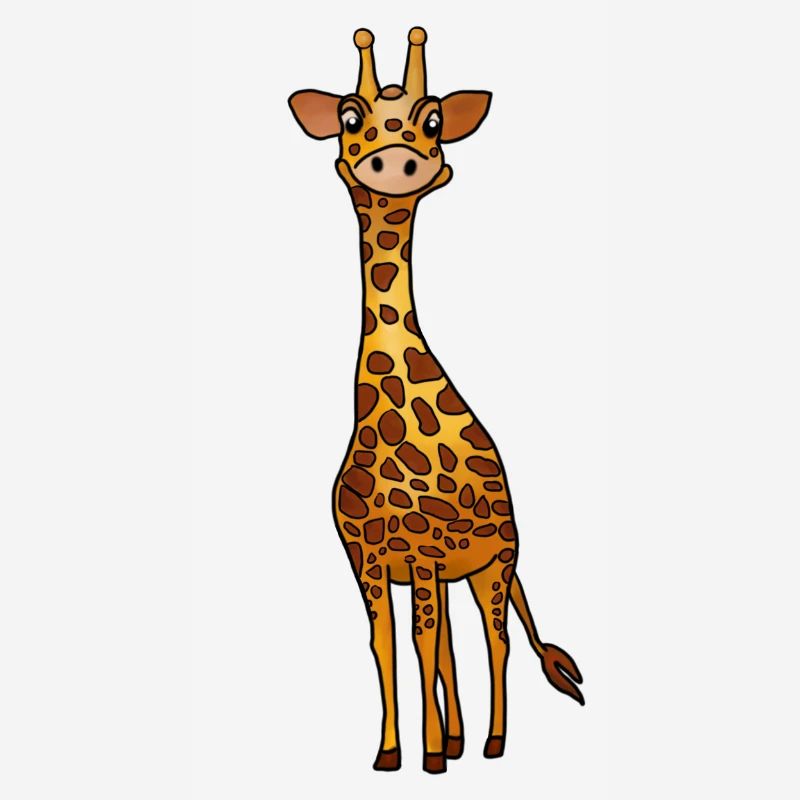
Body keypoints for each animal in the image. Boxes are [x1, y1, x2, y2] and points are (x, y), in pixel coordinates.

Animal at [289, 27, 584, 774]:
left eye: (432, 123)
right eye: (349, 118)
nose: (397, 163)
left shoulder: (421, 554)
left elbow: (424, 645)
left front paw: (428, 756)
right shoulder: (372, 561)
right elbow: (388, 645)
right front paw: (394, 752)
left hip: (496, 561)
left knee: (494, 638)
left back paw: (491, 742)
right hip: (455, 570)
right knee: (451, 639)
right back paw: (455, 737)